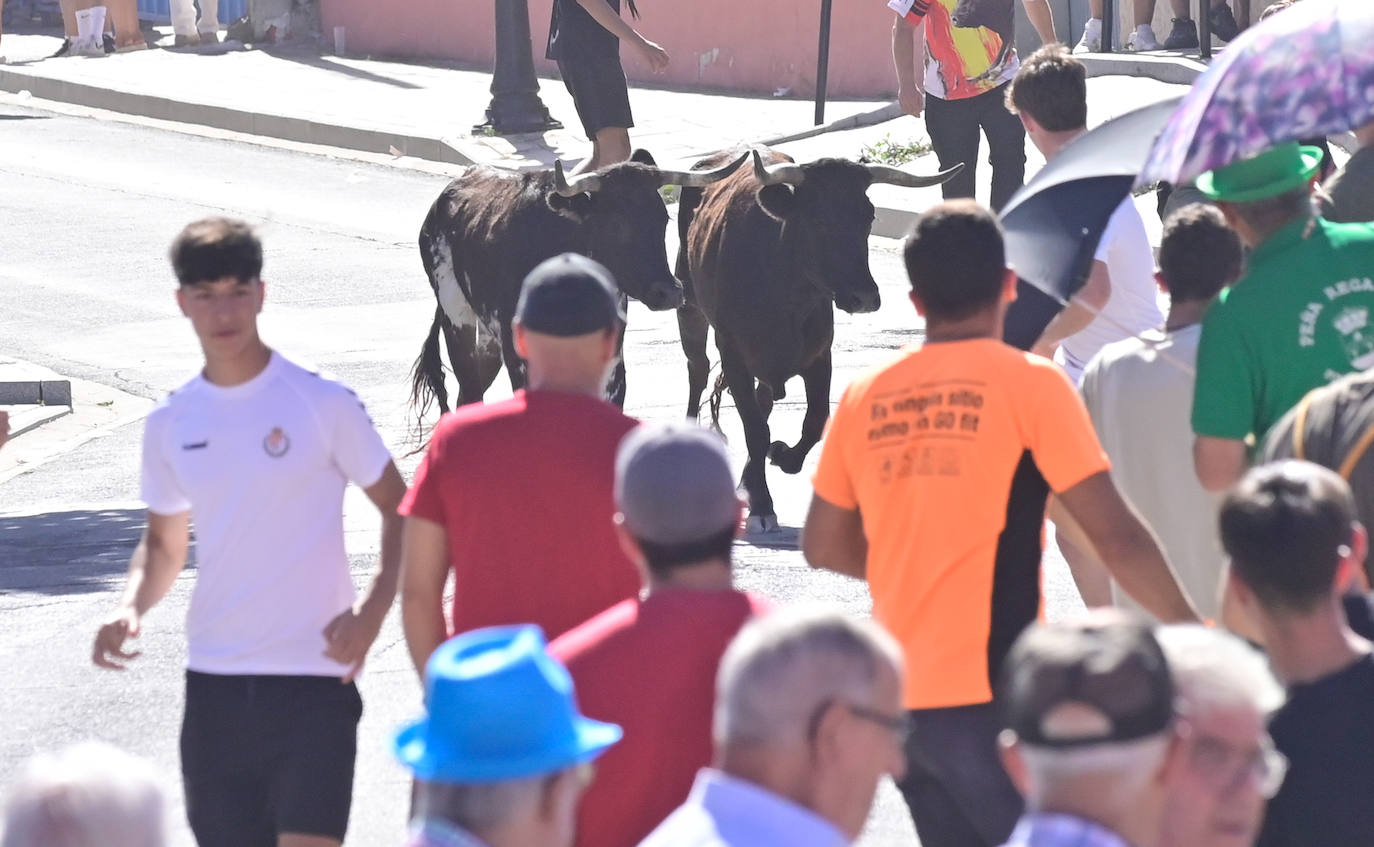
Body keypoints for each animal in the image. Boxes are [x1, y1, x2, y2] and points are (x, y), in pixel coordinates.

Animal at [409, 151, 747, 420]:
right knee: (470, 390)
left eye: (663, 218)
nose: (668, 292)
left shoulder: (611, 365)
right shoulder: (520, 360)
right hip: (457, 320)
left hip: (488, 339)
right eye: (616, 224)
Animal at [678, 145, 961, 528]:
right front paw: (763, 505)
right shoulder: (734, 353)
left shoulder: (818, 354)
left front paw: (781, 456)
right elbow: (755, 429)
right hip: (689, 306)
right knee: (697, 370)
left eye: (868, 216)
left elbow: (814, 420)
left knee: (762, 401)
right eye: (819, 220)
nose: (864, 297)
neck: (787, 291)